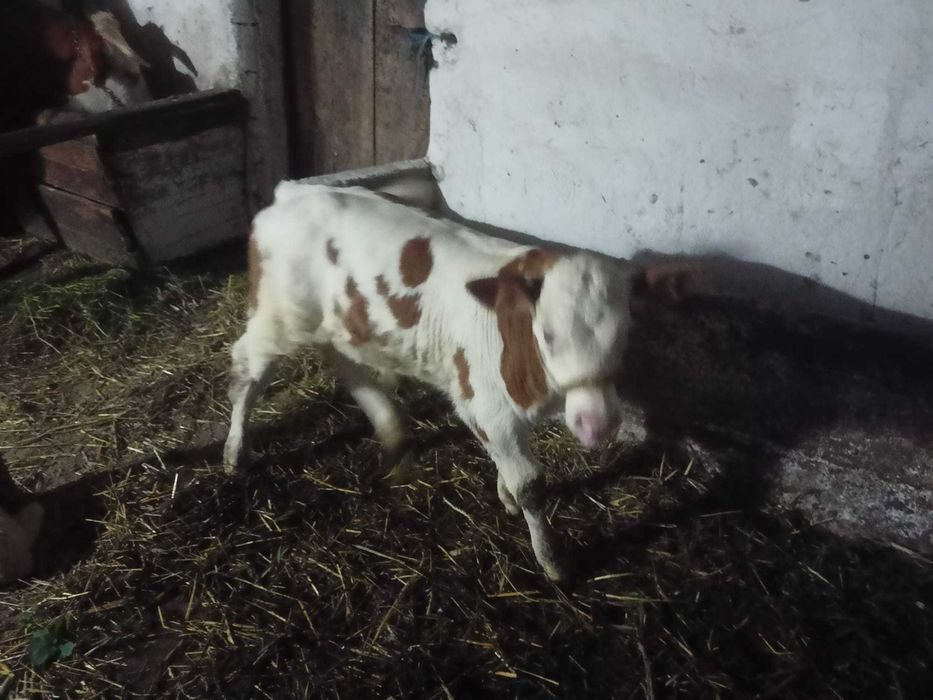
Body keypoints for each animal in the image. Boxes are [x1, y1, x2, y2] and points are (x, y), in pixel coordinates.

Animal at [223, 182, 693, 580]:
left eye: (626, 333)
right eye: (549, 334)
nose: (598, 426)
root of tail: (295, 191)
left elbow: (512, 470)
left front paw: (505, 496)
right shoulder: (485, 408)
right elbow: (531, 485)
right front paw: (553, 560)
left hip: (336, 323)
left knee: (343, 361)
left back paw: (390, 427)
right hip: (277, 317)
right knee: (247, 371)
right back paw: (234, 451)